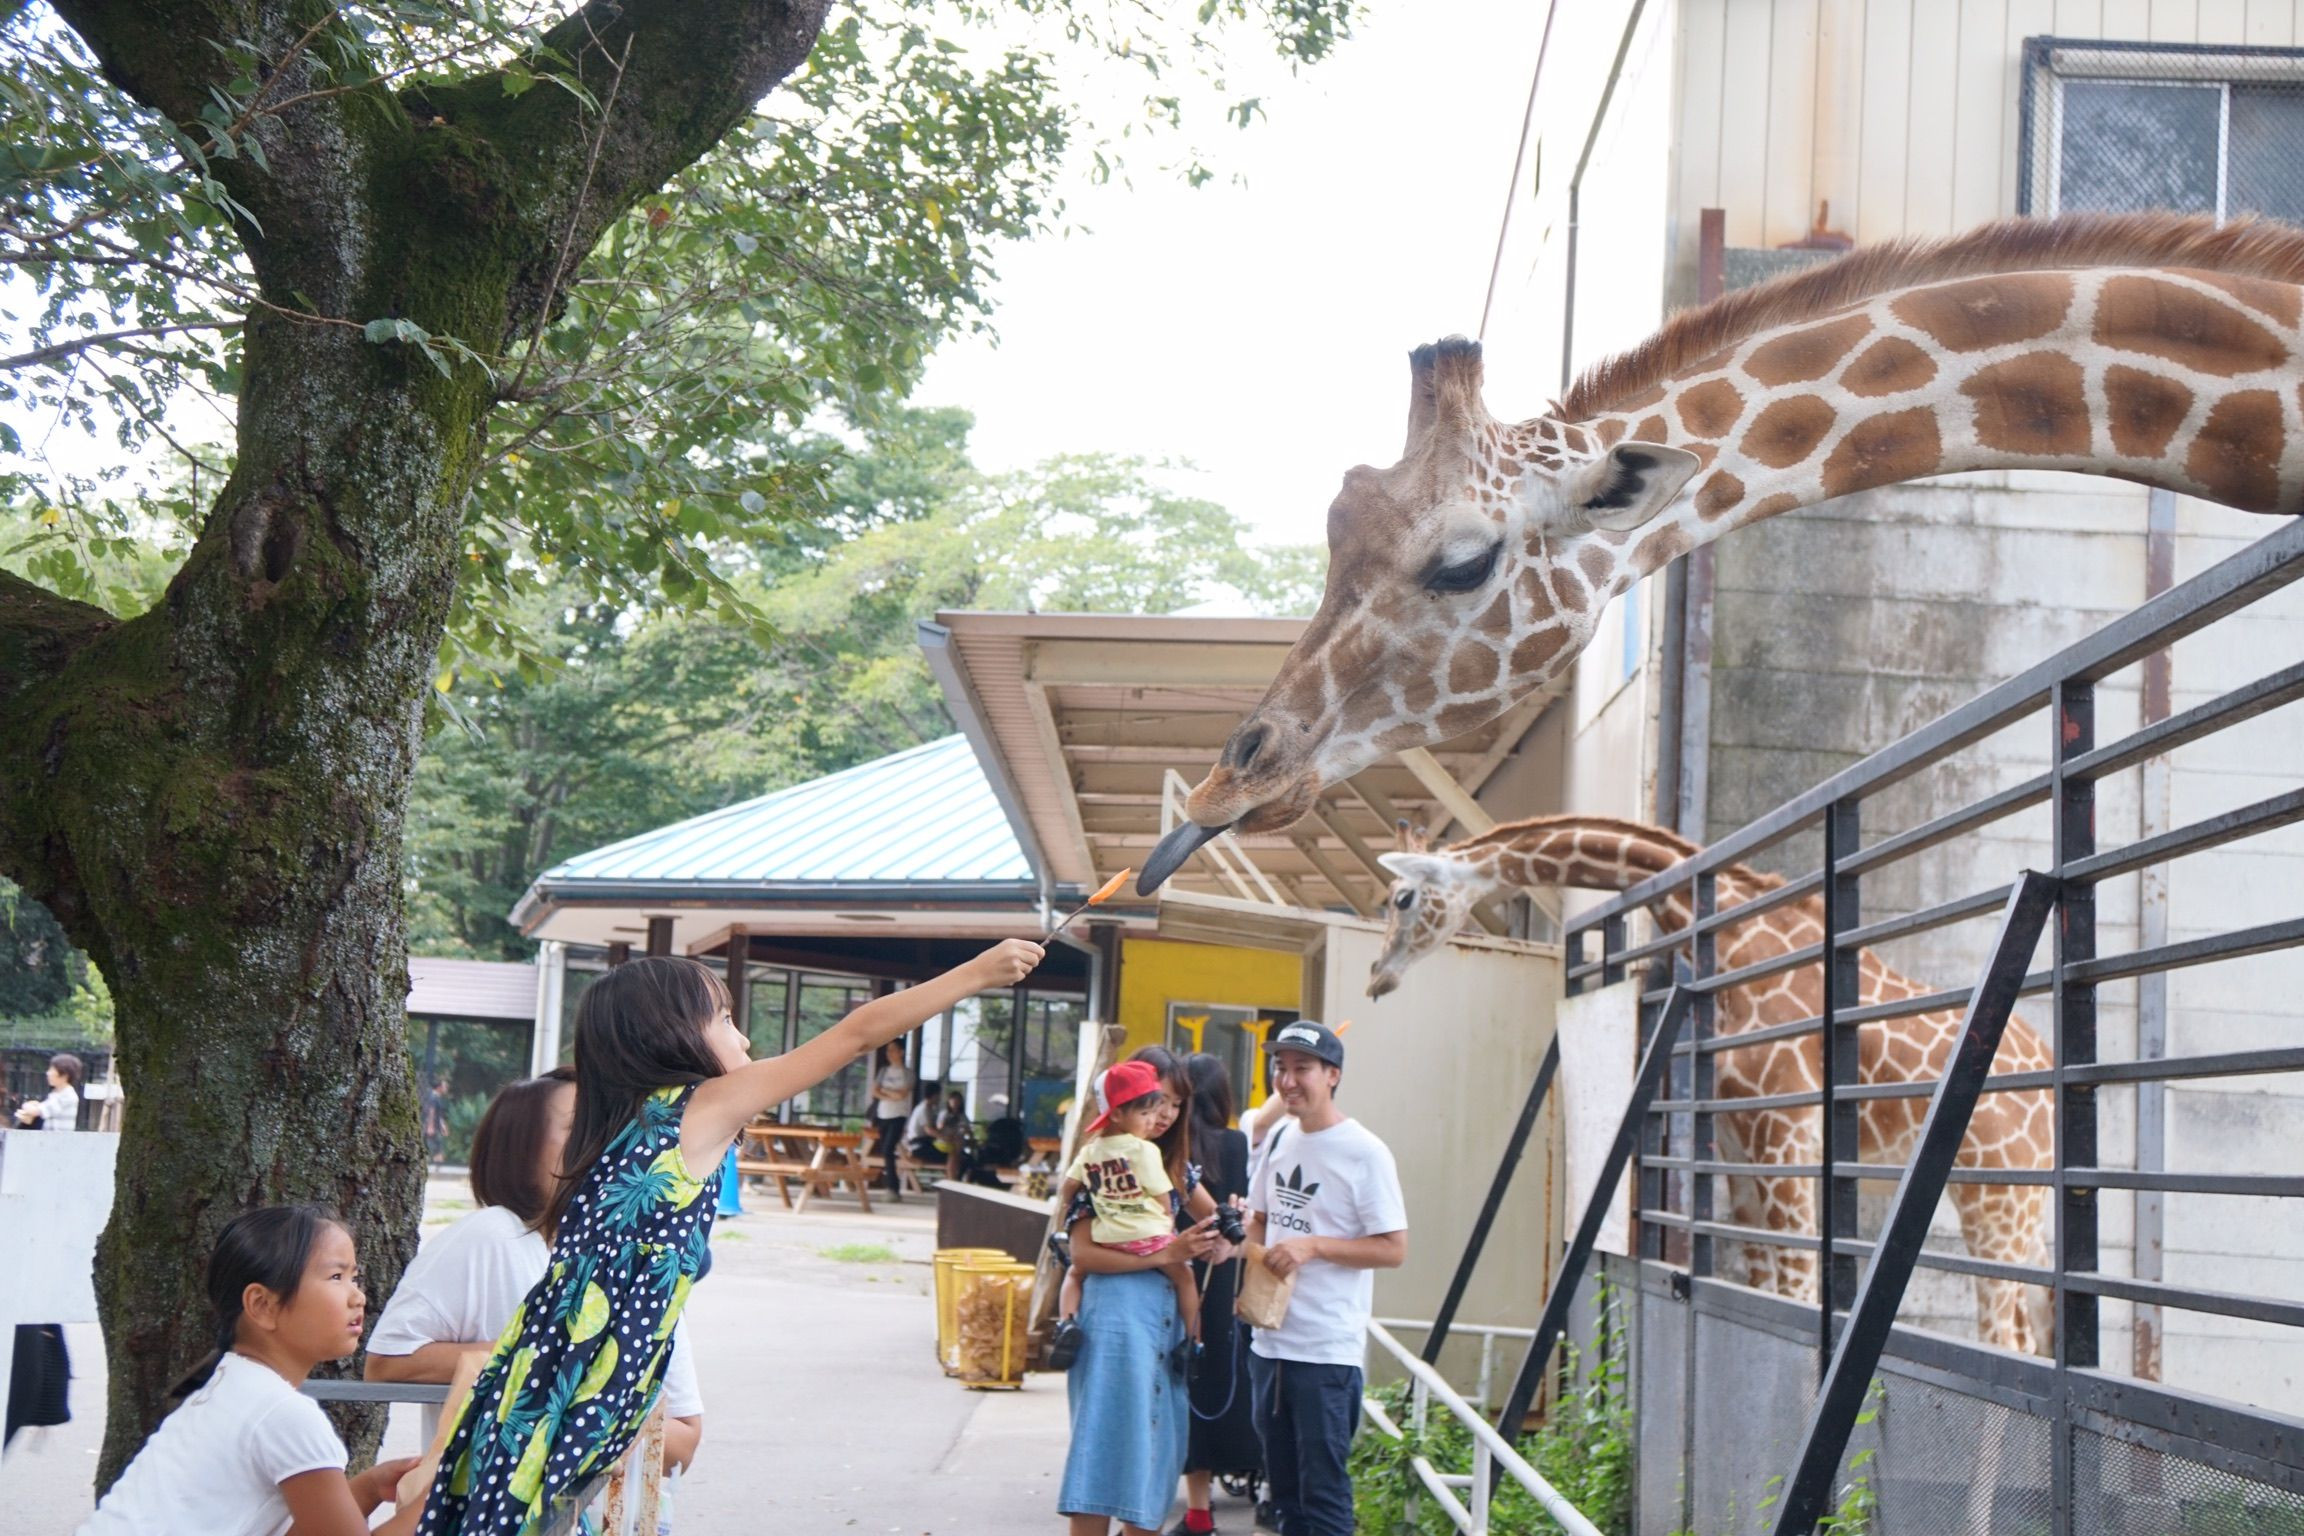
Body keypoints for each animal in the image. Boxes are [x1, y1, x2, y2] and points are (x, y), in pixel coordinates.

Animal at [1366, 813, 2054, 1355]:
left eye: (1400, 898)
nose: (1376, 977)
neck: (1739, 940)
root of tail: (2052, 1080)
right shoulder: (1737, 1144)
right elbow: (1761, 1283)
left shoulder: (1784, 1136)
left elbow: (1798, 1289)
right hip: (2016, 1203)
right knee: (2038, 1327)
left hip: (1997, 1199)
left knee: (2006, 1338)